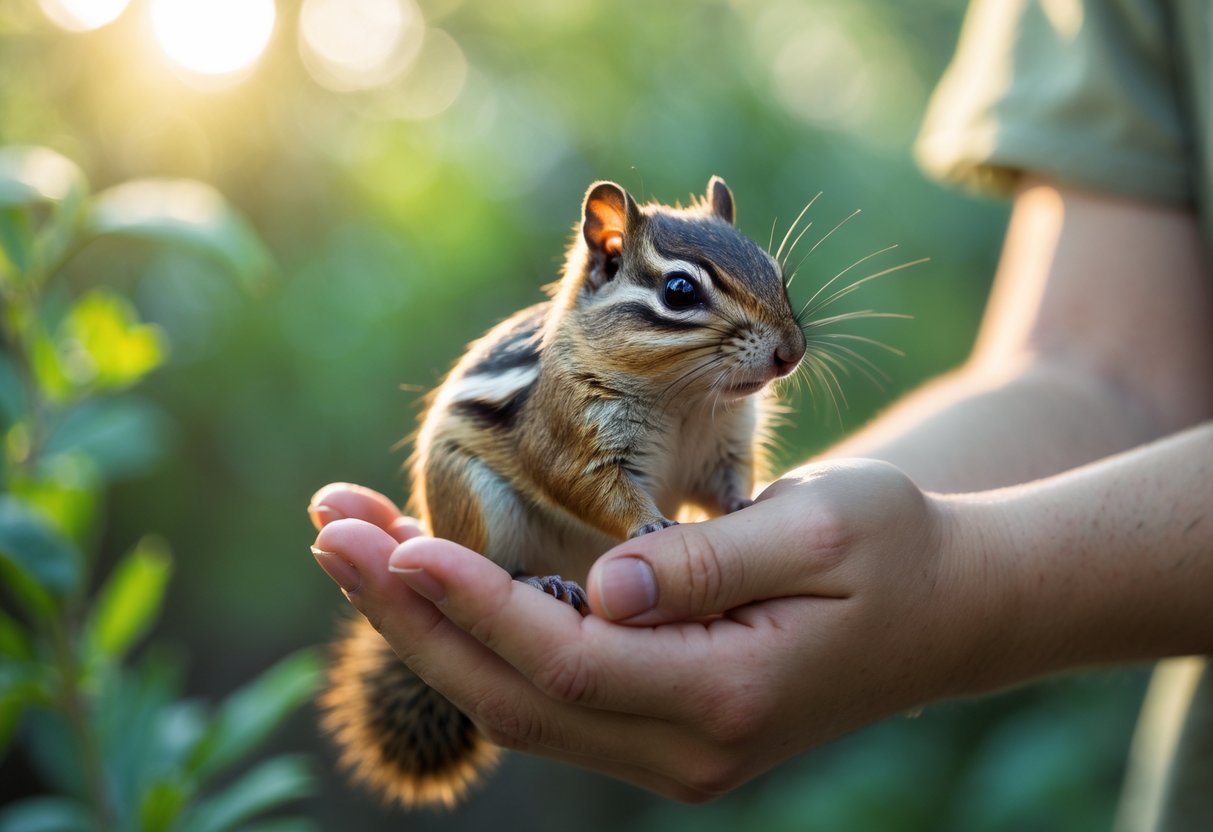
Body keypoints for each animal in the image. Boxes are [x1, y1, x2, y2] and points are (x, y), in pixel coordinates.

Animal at [320, 176, 807, 808]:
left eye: (775, 271)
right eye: (679, 290)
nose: (792, 351)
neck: (685, 400)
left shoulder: (724, 447)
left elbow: (725, 488)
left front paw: (747, 504)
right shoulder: (569, 441)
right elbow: (587, 488)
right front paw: (653, 526)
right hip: (478, 504)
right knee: (494, 563)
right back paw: (542, 582)